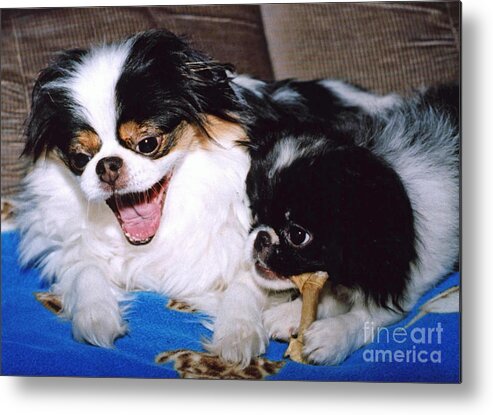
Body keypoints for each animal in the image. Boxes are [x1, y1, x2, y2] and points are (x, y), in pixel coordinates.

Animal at [209, 82, 460, 368]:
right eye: (254, 213)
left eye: (298, 235)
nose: (261, 238)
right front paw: (285, 315)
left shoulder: (404, 286)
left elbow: (365, 316)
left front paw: (330, 335)